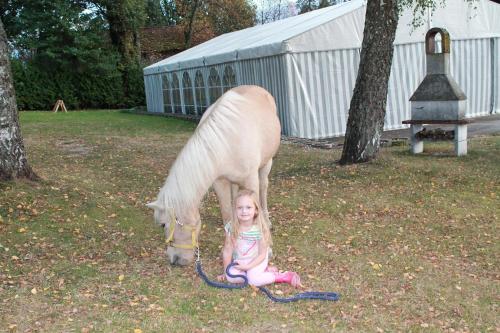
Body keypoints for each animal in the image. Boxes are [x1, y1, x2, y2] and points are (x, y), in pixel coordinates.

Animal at [147, 85, 282, 264]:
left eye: (163, 224)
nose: (174, 260)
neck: (226, 142)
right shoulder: (220, 182)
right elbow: (227, 214)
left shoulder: (251, 180)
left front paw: (267, 249)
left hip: (266, 165)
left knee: (264, 190)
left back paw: (268, 220)